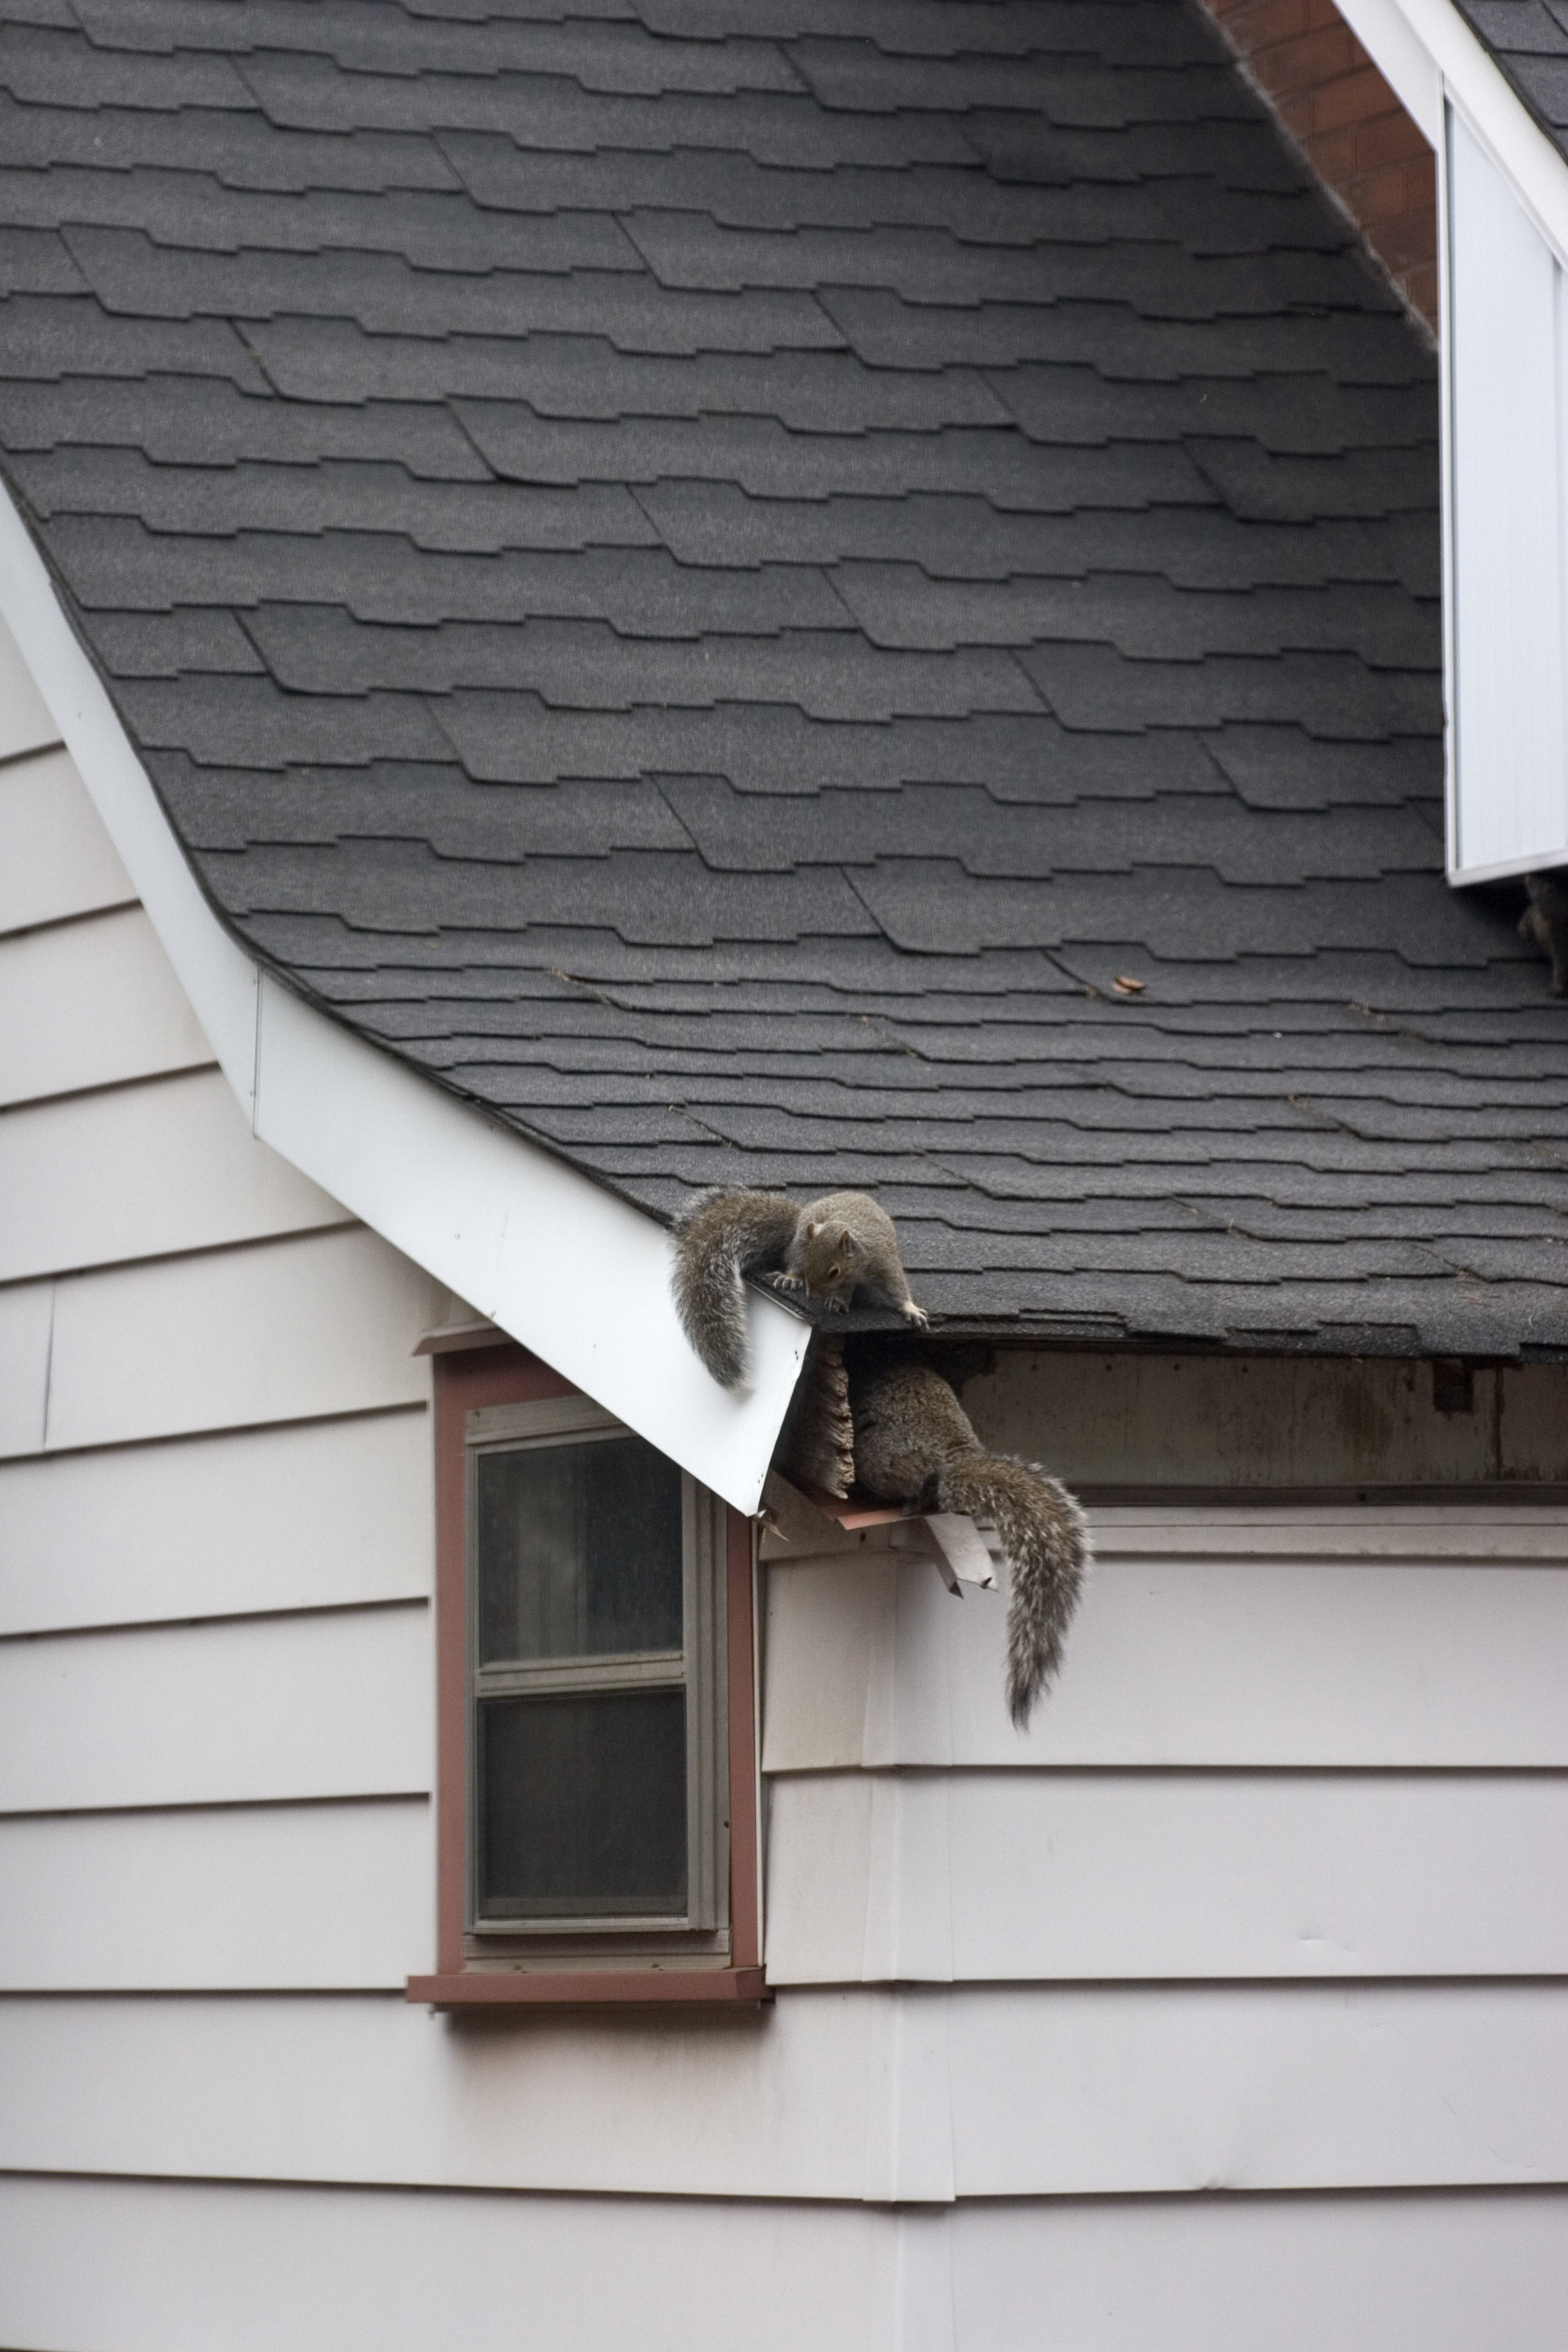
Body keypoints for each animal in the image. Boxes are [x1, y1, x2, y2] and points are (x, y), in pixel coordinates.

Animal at [667, 1195, 926, 1392]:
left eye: (833, 1271)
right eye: (809, 1262)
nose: (811, 1296)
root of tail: (800, 1217)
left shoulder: (883, 1262)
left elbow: (896, 1286)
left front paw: (910, 1308)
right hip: (800, 1239)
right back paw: (792, 1278)